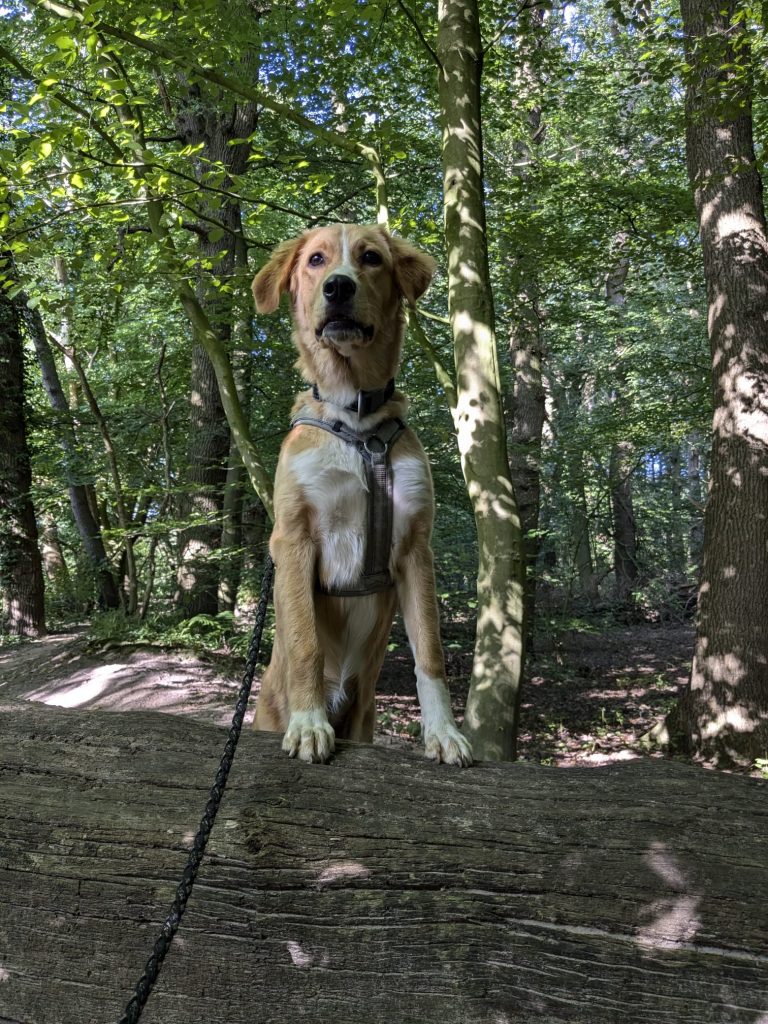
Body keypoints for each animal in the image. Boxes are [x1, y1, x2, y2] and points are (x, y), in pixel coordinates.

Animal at [251, 223, 472, 767]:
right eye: (316, 260)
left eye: (371, 258)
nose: (338, 287)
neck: (354, 420)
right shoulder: (293, 538)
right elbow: (305, 641)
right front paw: (309, 725)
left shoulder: (415, 548)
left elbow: (430, 653)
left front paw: (443, 732)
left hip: (365, 718)